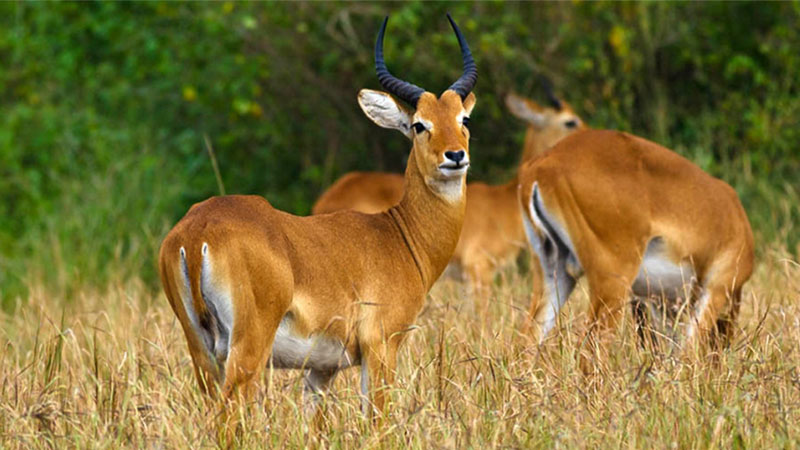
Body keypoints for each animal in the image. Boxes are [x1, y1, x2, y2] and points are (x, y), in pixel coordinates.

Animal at [159, 14, 478, 418]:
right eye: (420, 124)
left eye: (463, 119)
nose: (455, 156)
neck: (400, 235)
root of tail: (196, 231)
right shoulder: (380, 347)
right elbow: (376, 418)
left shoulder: (322, 369)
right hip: (247, 350)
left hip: (201, 351)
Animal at [314, 81, 588, 302]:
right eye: (570, 121)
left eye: (464, 120)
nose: (588, 136)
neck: (505, 201)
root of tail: (326, 201)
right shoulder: (479, 270)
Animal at [516, 127, 752, 366]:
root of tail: (543, 164)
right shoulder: (716, 289)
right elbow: (687, 353)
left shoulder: (660, 305)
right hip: (612, 282)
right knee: (588, 351)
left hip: (553, 272)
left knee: (528, 339)